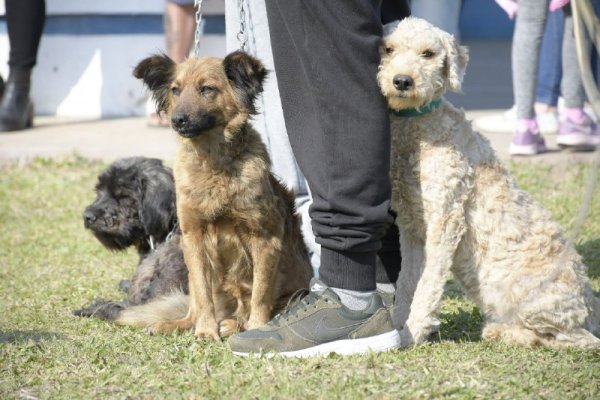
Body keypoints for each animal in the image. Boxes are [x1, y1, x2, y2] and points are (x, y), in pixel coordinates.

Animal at [118, 51, 314, 340]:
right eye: (175, 90)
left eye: (207, 89)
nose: (177, 120)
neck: (213, 164)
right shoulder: (193, 238)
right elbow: (203, 295)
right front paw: (205, 331)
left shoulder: (265, 239)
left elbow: (261, 293)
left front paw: (257, 328)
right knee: (196, 304)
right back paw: (179, 324)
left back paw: (234, 325)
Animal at [380, 17, 600, 348]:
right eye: (388, 49)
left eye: (428, 54)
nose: (403, 81)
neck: (418, 129)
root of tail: (591, 306)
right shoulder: (412, 228)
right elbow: (407, 282)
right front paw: (397, 326)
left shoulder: (446, 220)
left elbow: (428, 284)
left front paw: (413, 332)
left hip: (531, 296)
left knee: (574, 339)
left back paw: (503, 332)